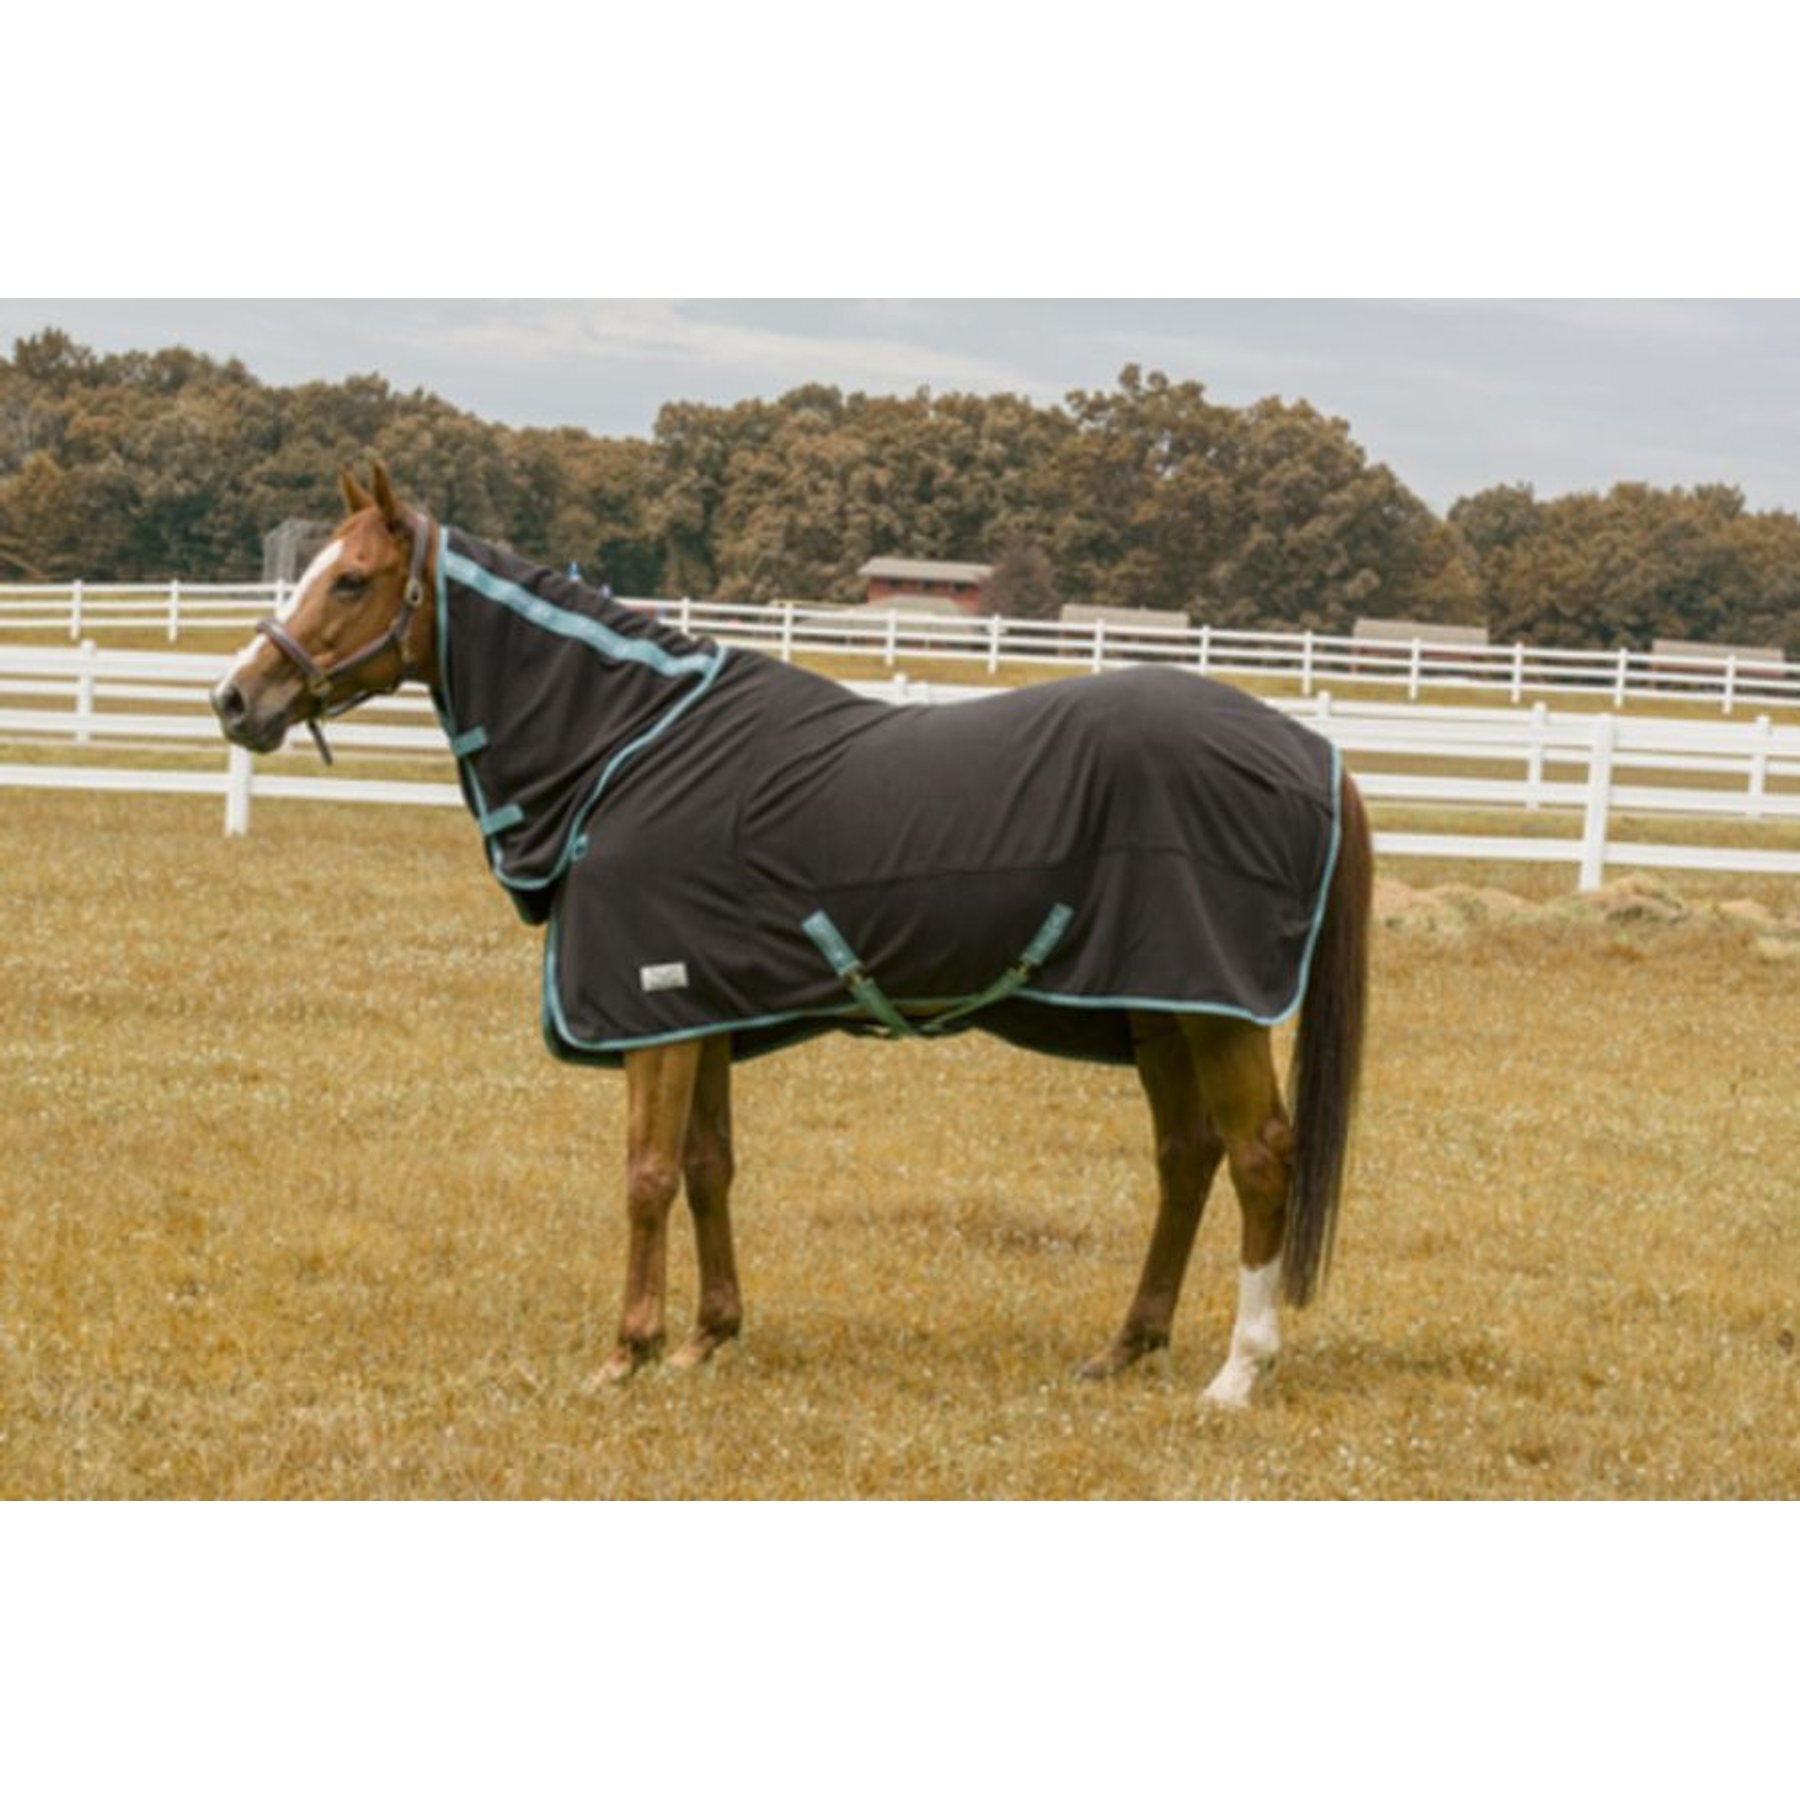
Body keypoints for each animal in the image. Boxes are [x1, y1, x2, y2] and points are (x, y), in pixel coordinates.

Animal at [213, 464, 1372, 1406]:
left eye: (352, 581)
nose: (235, 698)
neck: (628, 747)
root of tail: (1309, 750)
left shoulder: (655, 1009)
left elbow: (647, 1173)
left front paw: (627, 1351)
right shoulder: (702, 1008)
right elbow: (709, 1165)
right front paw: (706, 1339)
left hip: (1214, 1013)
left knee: (1260, 1161)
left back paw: (1238, 1372)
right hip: (1161, 1011)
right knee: (1186, 1158)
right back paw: (1127, 1348)